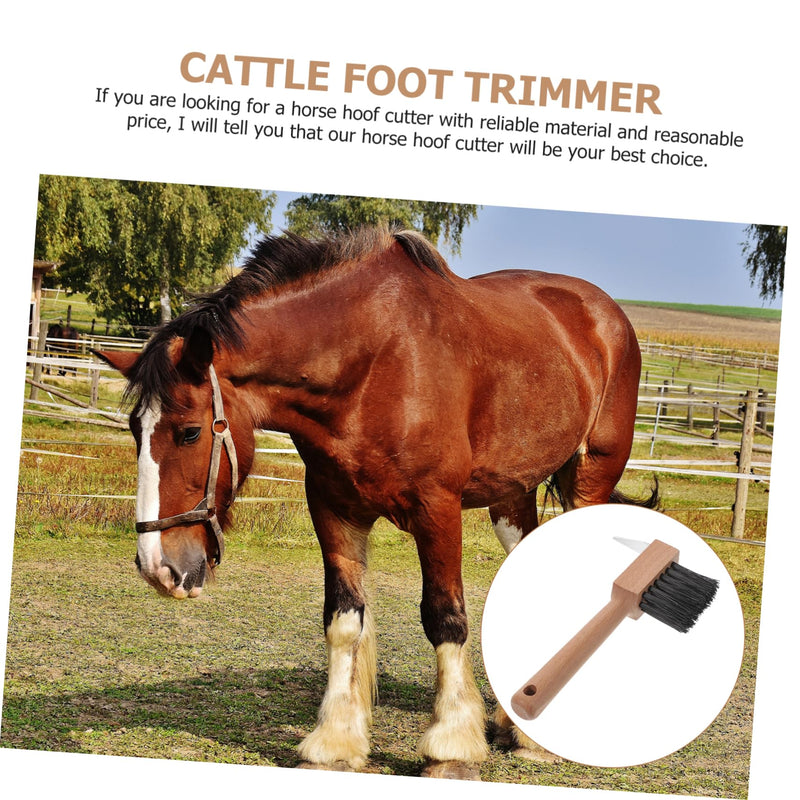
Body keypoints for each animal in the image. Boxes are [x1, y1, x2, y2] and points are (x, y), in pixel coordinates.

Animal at [94, 226, 657, 779]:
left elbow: (445, 617)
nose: (158, 567)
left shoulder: (437, 508)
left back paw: (537, 740)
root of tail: (605, 314)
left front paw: (450, 745)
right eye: (135, 430)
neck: (372, 363)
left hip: (589, 481)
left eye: (189, 432)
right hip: (511, 496)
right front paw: (335, 741)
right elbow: (344, 621)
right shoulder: (334, 509)